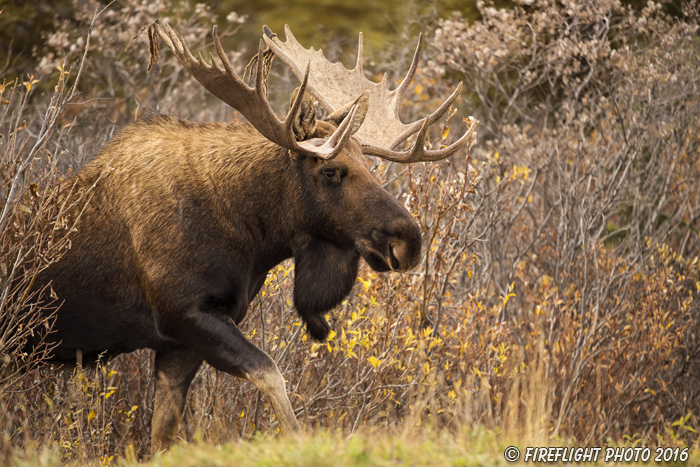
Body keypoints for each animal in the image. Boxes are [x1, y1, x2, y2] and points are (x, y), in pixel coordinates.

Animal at [34, 22, 476, 454]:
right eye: (330, 172)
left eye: (369, 166)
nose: (409, 240)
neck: (251, 234)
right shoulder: (184, 313)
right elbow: (271, 374)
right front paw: (299, 441)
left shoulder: (178, 343)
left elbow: (162, 435)